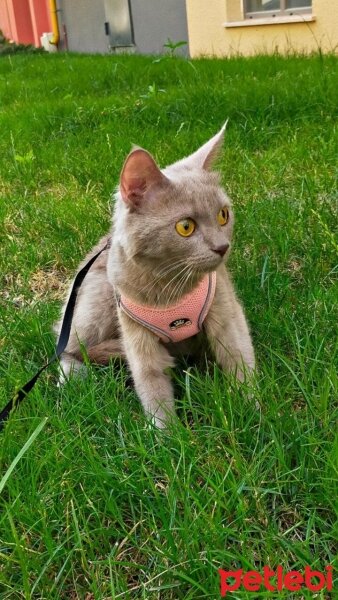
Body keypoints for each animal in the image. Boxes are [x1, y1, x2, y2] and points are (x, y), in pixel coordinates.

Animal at [55, 125, 255, 426]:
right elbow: (151, 385)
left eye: (223, 215)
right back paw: (73, 382)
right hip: (96, 304)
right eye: (185, 227)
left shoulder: (225, 307)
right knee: (67, 345)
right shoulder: (136, 333)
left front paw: (254, 413)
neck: (168, 288)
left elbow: (238, 355)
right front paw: (167, 434)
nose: (222, 247)